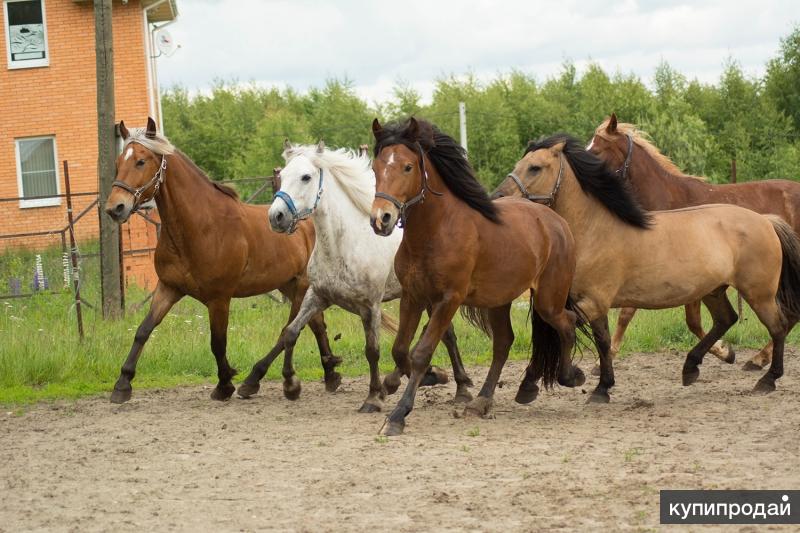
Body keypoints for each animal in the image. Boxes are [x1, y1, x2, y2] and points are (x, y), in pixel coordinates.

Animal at [101, 118, 340, 402]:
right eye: (118, 163)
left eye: (140, 161)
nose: (115, 208)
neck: (199, 227)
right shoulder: (169, 288)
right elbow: (143, 331)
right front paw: (122, 384)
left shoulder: (219, 298)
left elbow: (218, 342)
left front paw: (225, 383)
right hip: (291, 286)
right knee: (316, 325)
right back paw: (330, 374)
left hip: (301, 286)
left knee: (290, 330)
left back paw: (257, 380)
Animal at [238, 139, 476, 410]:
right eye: (282, 176)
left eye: (306, 177)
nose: (276, 217)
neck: (344, 246)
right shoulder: (317, 296)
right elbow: (290, 332)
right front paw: (290, 385)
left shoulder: (370, 306)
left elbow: (372, 350)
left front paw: (373, 397)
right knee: (444, 334)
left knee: (445, 336)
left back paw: (456, 385)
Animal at [368, 118, 580, 434]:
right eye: (375, 167)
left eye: (407, 167)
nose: (381, 219)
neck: (434, 232)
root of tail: (556, 221)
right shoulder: (413, 296)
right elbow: (400, 349)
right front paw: (420, 379)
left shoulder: (449, 300)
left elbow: (421, 352)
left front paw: (398, 415)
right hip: (499, 300)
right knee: (504, 342)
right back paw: (482, 401)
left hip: (548, 300)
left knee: (568, 322)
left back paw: (570, 376)